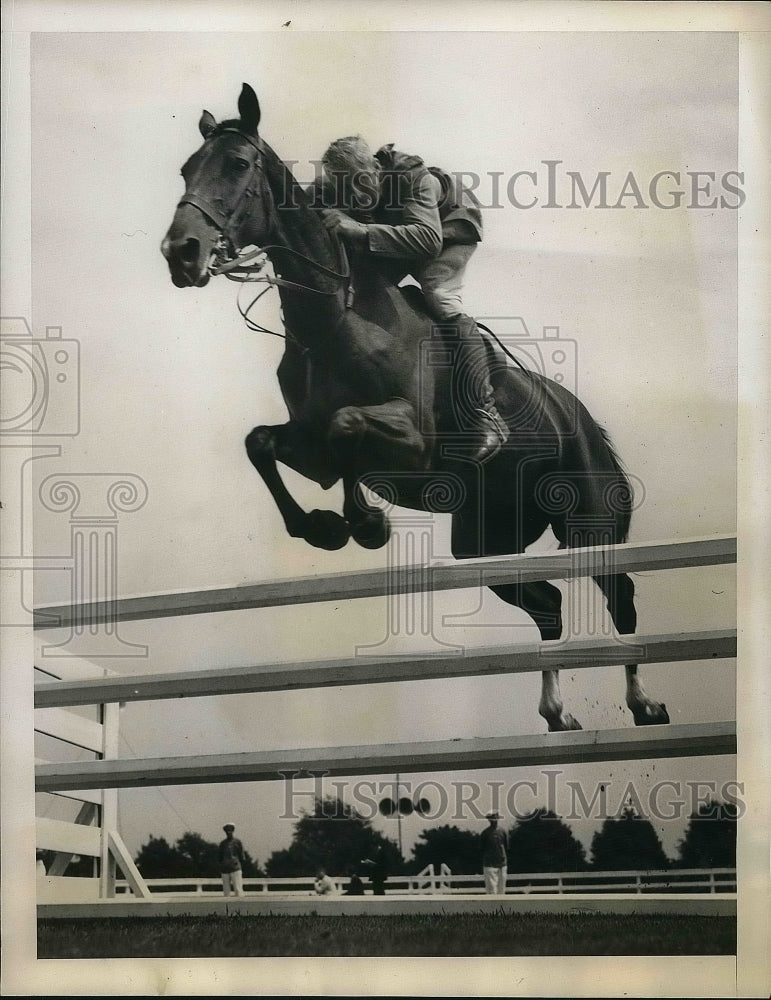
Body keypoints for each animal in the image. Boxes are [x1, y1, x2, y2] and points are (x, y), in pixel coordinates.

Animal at [163, 84, 668, 736]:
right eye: (186, 169)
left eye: (238, 164)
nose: (181, 252)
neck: (334, 318)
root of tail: (581, 419)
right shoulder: (306, 440)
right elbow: (263, 442)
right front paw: (322, 526)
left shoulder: (414, 444)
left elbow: (348, 426)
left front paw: (365, 523)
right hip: (483, 542)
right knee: (549, 604)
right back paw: (557, 713)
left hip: (589, 522)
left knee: (620, 592)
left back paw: (644, 703)